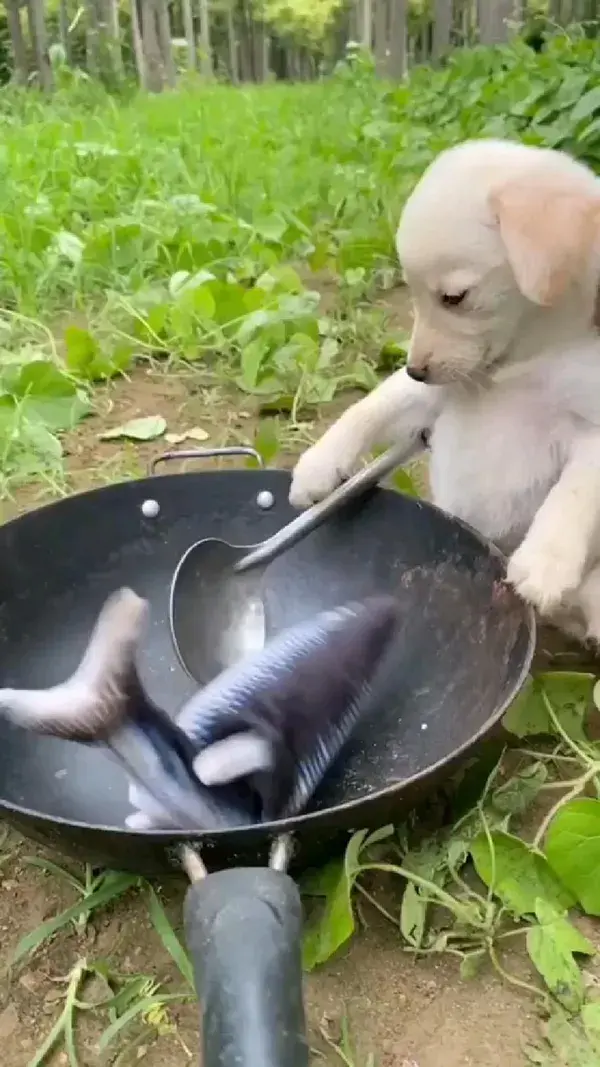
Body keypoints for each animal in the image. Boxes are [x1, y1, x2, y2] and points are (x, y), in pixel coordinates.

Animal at [288, 139, 600, 640]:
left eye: (454, 298)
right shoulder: (435, 393)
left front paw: (544, 562)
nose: (416, 368)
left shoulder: (591, 421)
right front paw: (318, 465)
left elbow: (577, 492)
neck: (516, 365)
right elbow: (370, 407)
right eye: (413, 296)